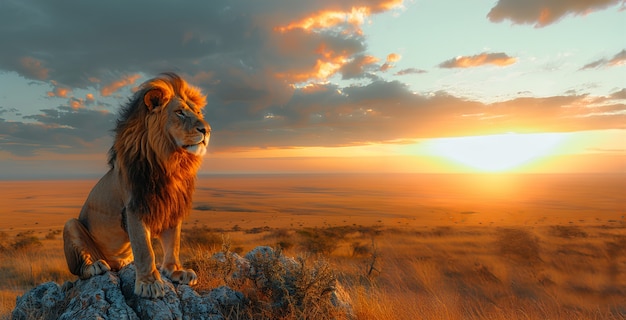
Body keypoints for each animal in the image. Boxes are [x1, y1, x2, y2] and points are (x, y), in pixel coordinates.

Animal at [62, 72, 210, 298]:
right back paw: (95, 265)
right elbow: (144, 250)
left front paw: (176, 271)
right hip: (71, 225)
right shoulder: (135, 208)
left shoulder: (172, 206)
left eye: (199, 112)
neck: (171, 163)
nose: (207, 129)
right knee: (79, 270)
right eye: (180, 113)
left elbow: (173, 243)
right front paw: (149, 283)